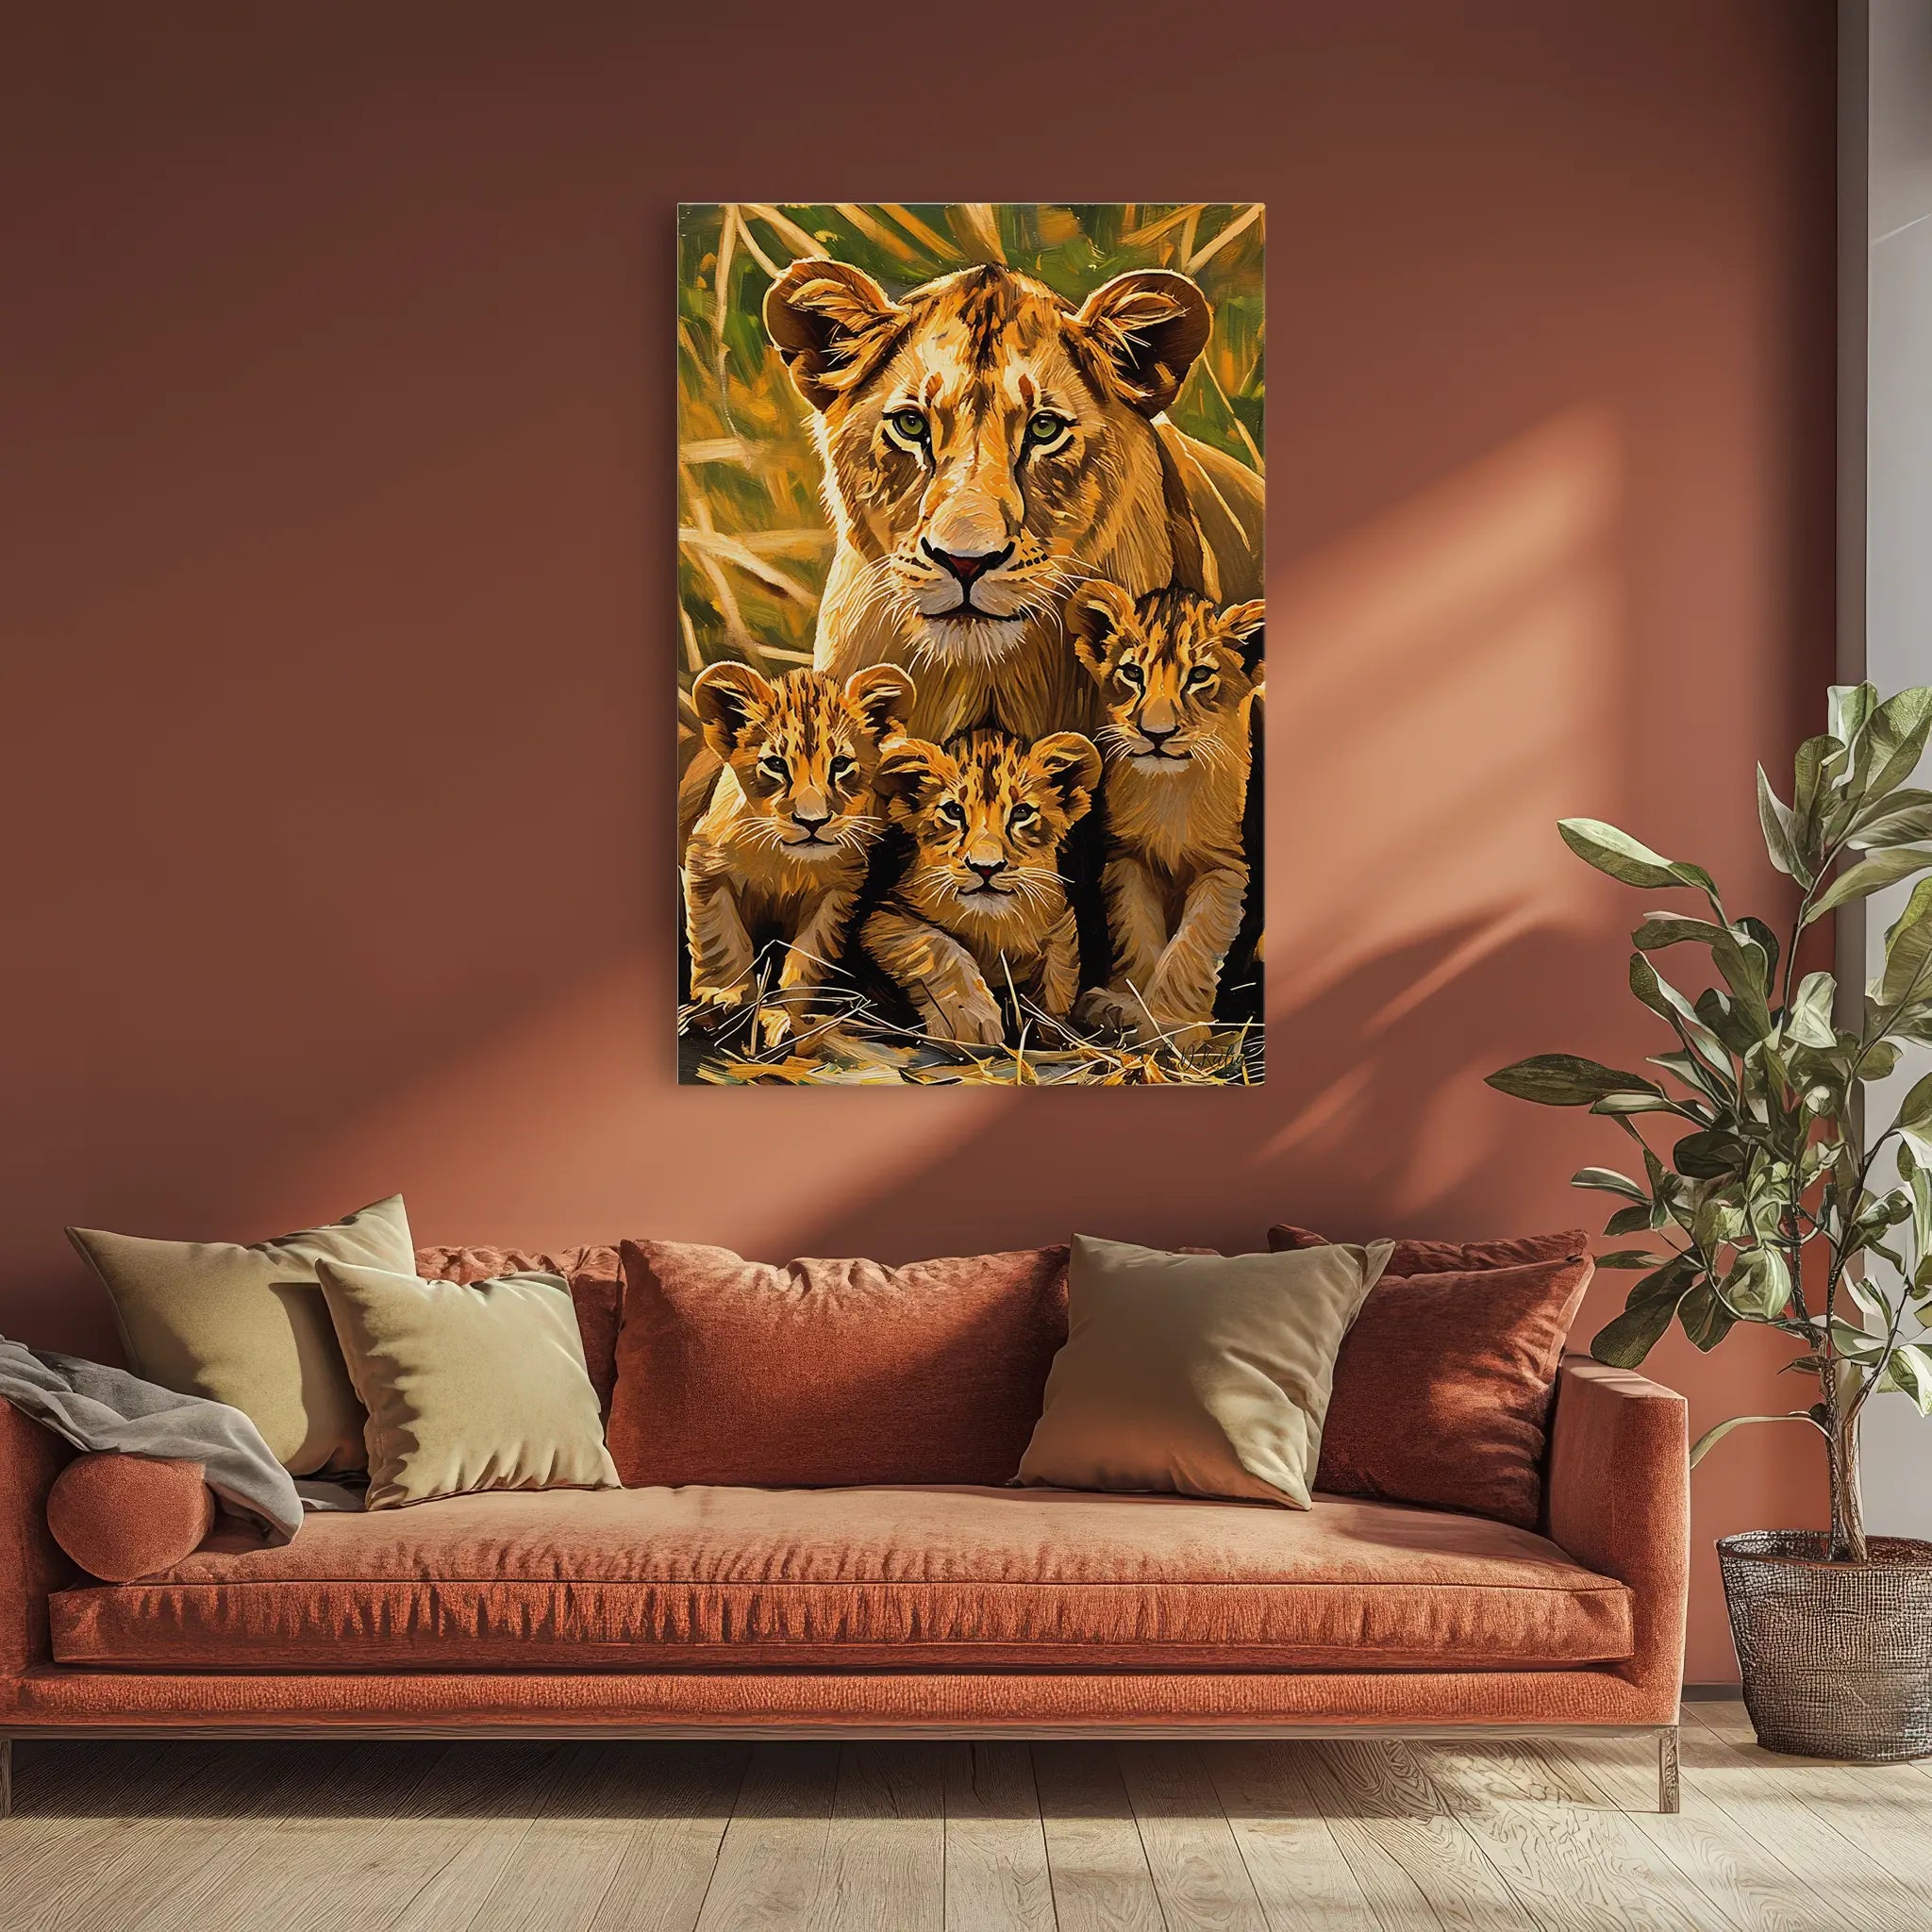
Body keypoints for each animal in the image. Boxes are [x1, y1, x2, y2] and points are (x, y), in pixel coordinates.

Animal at [684, 661, 914, 1046]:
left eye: (840, 764)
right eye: (776, 764)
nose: (812, 822)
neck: (785, 863)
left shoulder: (837, 893)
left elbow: (806, 956)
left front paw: (790, 1016)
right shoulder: (706, 866)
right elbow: (722, 939)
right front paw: (725, 998)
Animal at [864, 728, 1102, 1047]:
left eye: (1021, 813)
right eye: (953, 811)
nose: (985, 867)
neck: (992, 926)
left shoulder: (1060, 924)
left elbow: (1058, 975)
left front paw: (1053, 1032)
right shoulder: (883, 917)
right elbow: (937, 946)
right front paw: (971, 1023)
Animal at [1065, 582, 1264, 1038]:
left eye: (1200, 676)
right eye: (1133, 673)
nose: (1156, 734)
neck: (1169, 792)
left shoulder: (1227, 867)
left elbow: (1192, 944)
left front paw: (1173, 1025)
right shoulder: (1129, 860)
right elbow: (1137, 932)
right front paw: (1123, 1006)